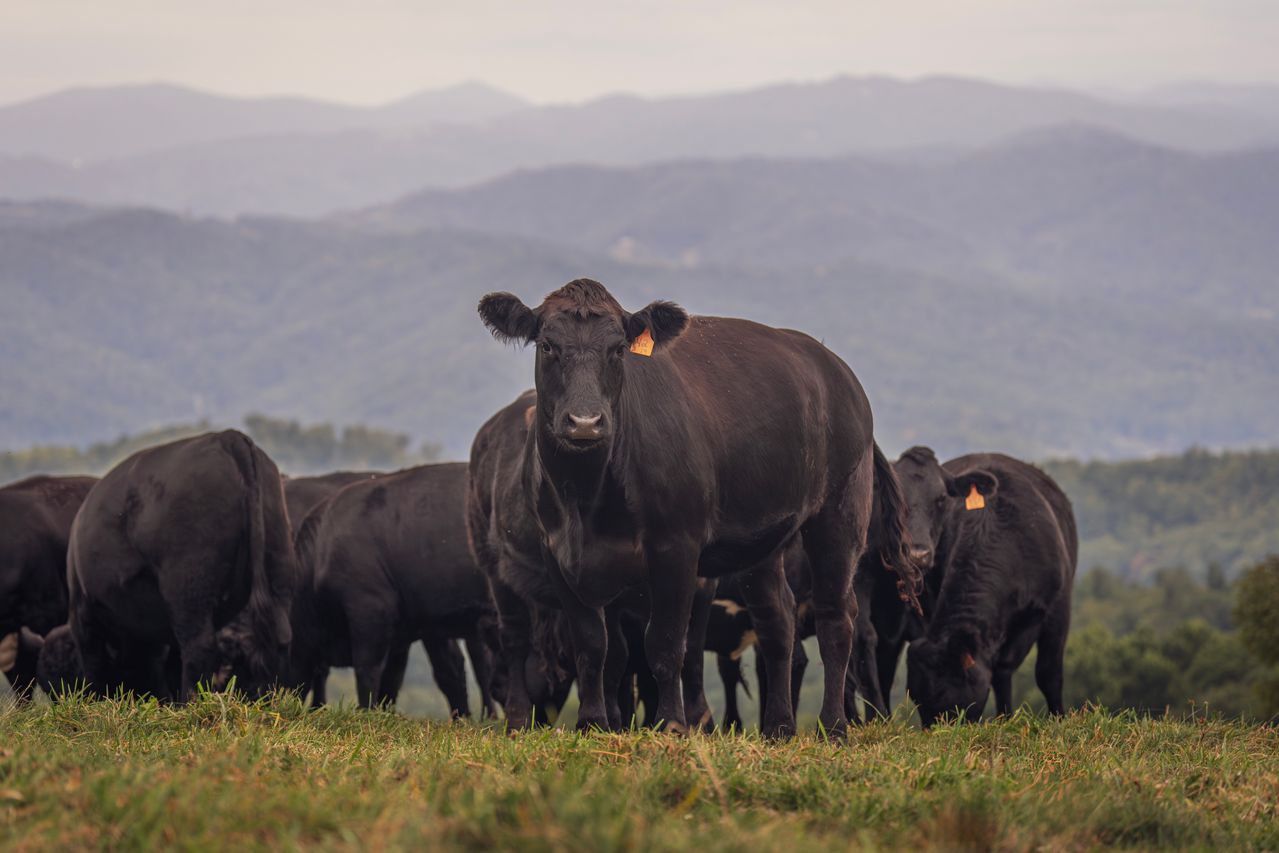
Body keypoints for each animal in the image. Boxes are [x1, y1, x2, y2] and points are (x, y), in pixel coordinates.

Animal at [66, 430, 296, 700]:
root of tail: (227, 437)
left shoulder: (83, 614)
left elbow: (95, 667)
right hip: (277, 568)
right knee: (279, 637)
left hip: (188, 587)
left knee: (199, 647)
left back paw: (191, 702)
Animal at [476, 278, 915, 737]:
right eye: (547, 346)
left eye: (617, 350)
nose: (584, 422)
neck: (586, 498)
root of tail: (836, 368)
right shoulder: (557, 554)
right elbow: (592, 646)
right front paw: (593, 723)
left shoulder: (676, 548)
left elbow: (667, 643)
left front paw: (672, 723)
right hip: (766, 540)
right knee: (778, 621)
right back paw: (778, 728)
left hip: (839, 515)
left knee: (837, 619)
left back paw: (834, 727)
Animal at [905, 451, 1077, 726]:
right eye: (916, 698)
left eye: (944, 696)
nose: (936, 732)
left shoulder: (1058, 607)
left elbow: (1048, 673)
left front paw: (1058, 719)